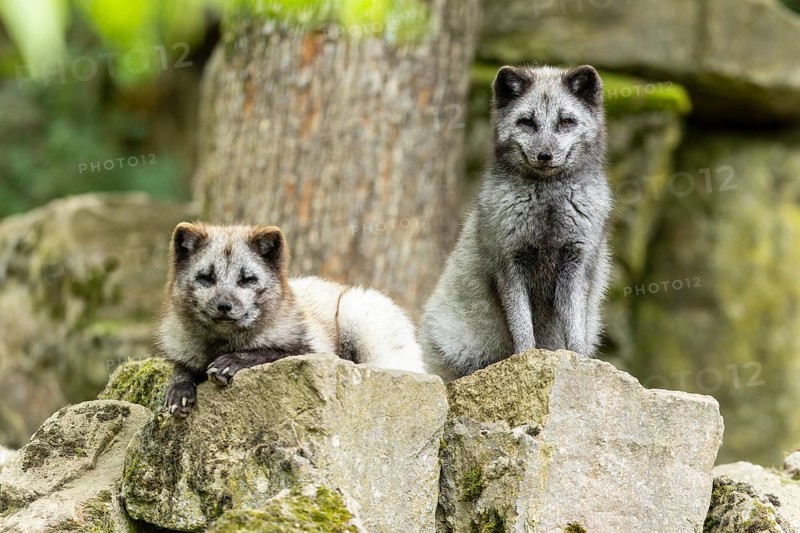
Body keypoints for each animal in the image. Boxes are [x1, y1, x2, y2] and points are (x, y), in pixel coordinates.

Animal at [159, 222, 425, 417]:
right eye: (206, 277)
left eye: (247, 279)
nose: (225, 306)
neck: (219, 344)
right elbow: (181, 367)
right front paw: (179, 390)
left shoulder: (314, 350)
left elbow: (271, 351)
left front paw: (231, 362)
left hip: (357, 315)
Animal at [420, 64, 613, 382]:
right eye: (527, 122)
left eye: (566, 121)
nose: (545, 155)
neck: (548, 205)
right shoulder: (509, 265)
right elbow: (522, 327)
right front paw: (525, 360)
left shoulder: (576, 265)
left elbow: (574, 326)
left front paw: (579, 361)